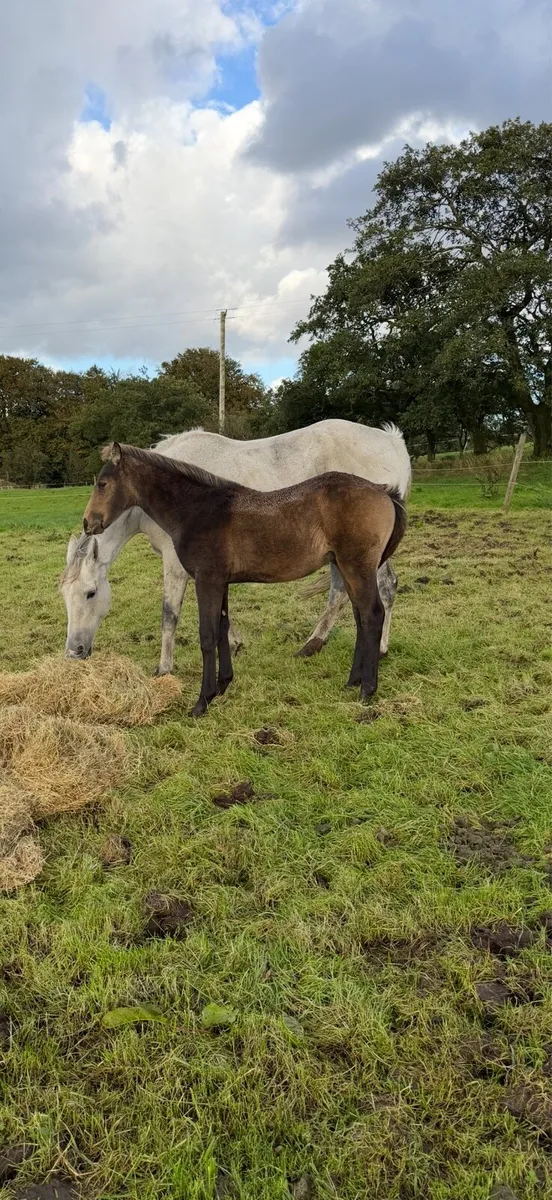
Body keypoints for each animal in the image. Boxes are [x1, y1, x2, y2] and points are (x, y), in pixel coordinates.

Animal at [82, 443, 407, 717]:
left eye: (102, 484)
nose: (88, 523)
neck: (197, 509)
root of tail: (384, 491)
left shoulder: (206, 579)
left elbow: (207, 635)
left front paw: (202, 701)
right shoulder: (221, 581)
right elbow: (223, 628)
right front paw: (223, 684)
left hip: (357, 567)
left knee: (372, 615)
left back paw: (367, 689)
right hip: (347, 567)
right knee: (360, 617)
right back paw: (353, 681)